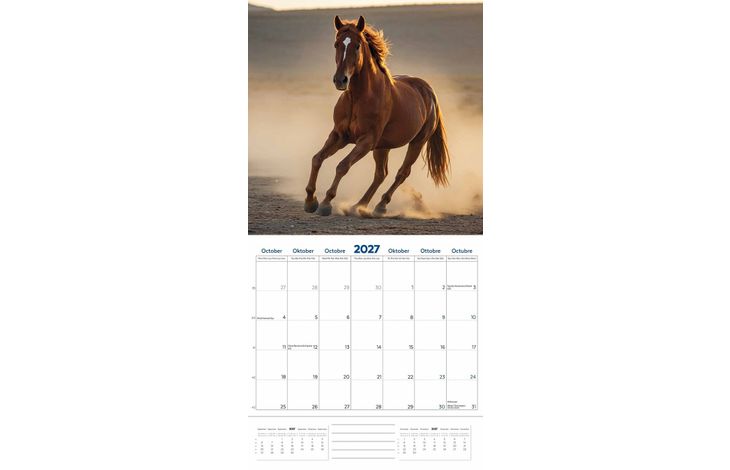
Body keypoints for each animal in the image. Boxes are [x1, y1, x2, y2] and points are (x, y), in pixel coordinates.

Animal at [304, 15, 450, 217]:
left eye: (357, 45)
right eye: (336, 44)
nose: (340, 80)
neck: (358, 98)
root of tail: (428, 91)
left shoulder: (366, 141)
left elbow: (342, 166)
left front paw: (326, 202)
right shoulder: (339, 136)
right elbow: (317, 159)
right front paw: (310, 200)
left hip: (417, 142)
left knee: (402, 173)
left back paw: (380, 206)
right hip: (383, 147)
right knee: (381, 174)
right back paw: (359, 205)